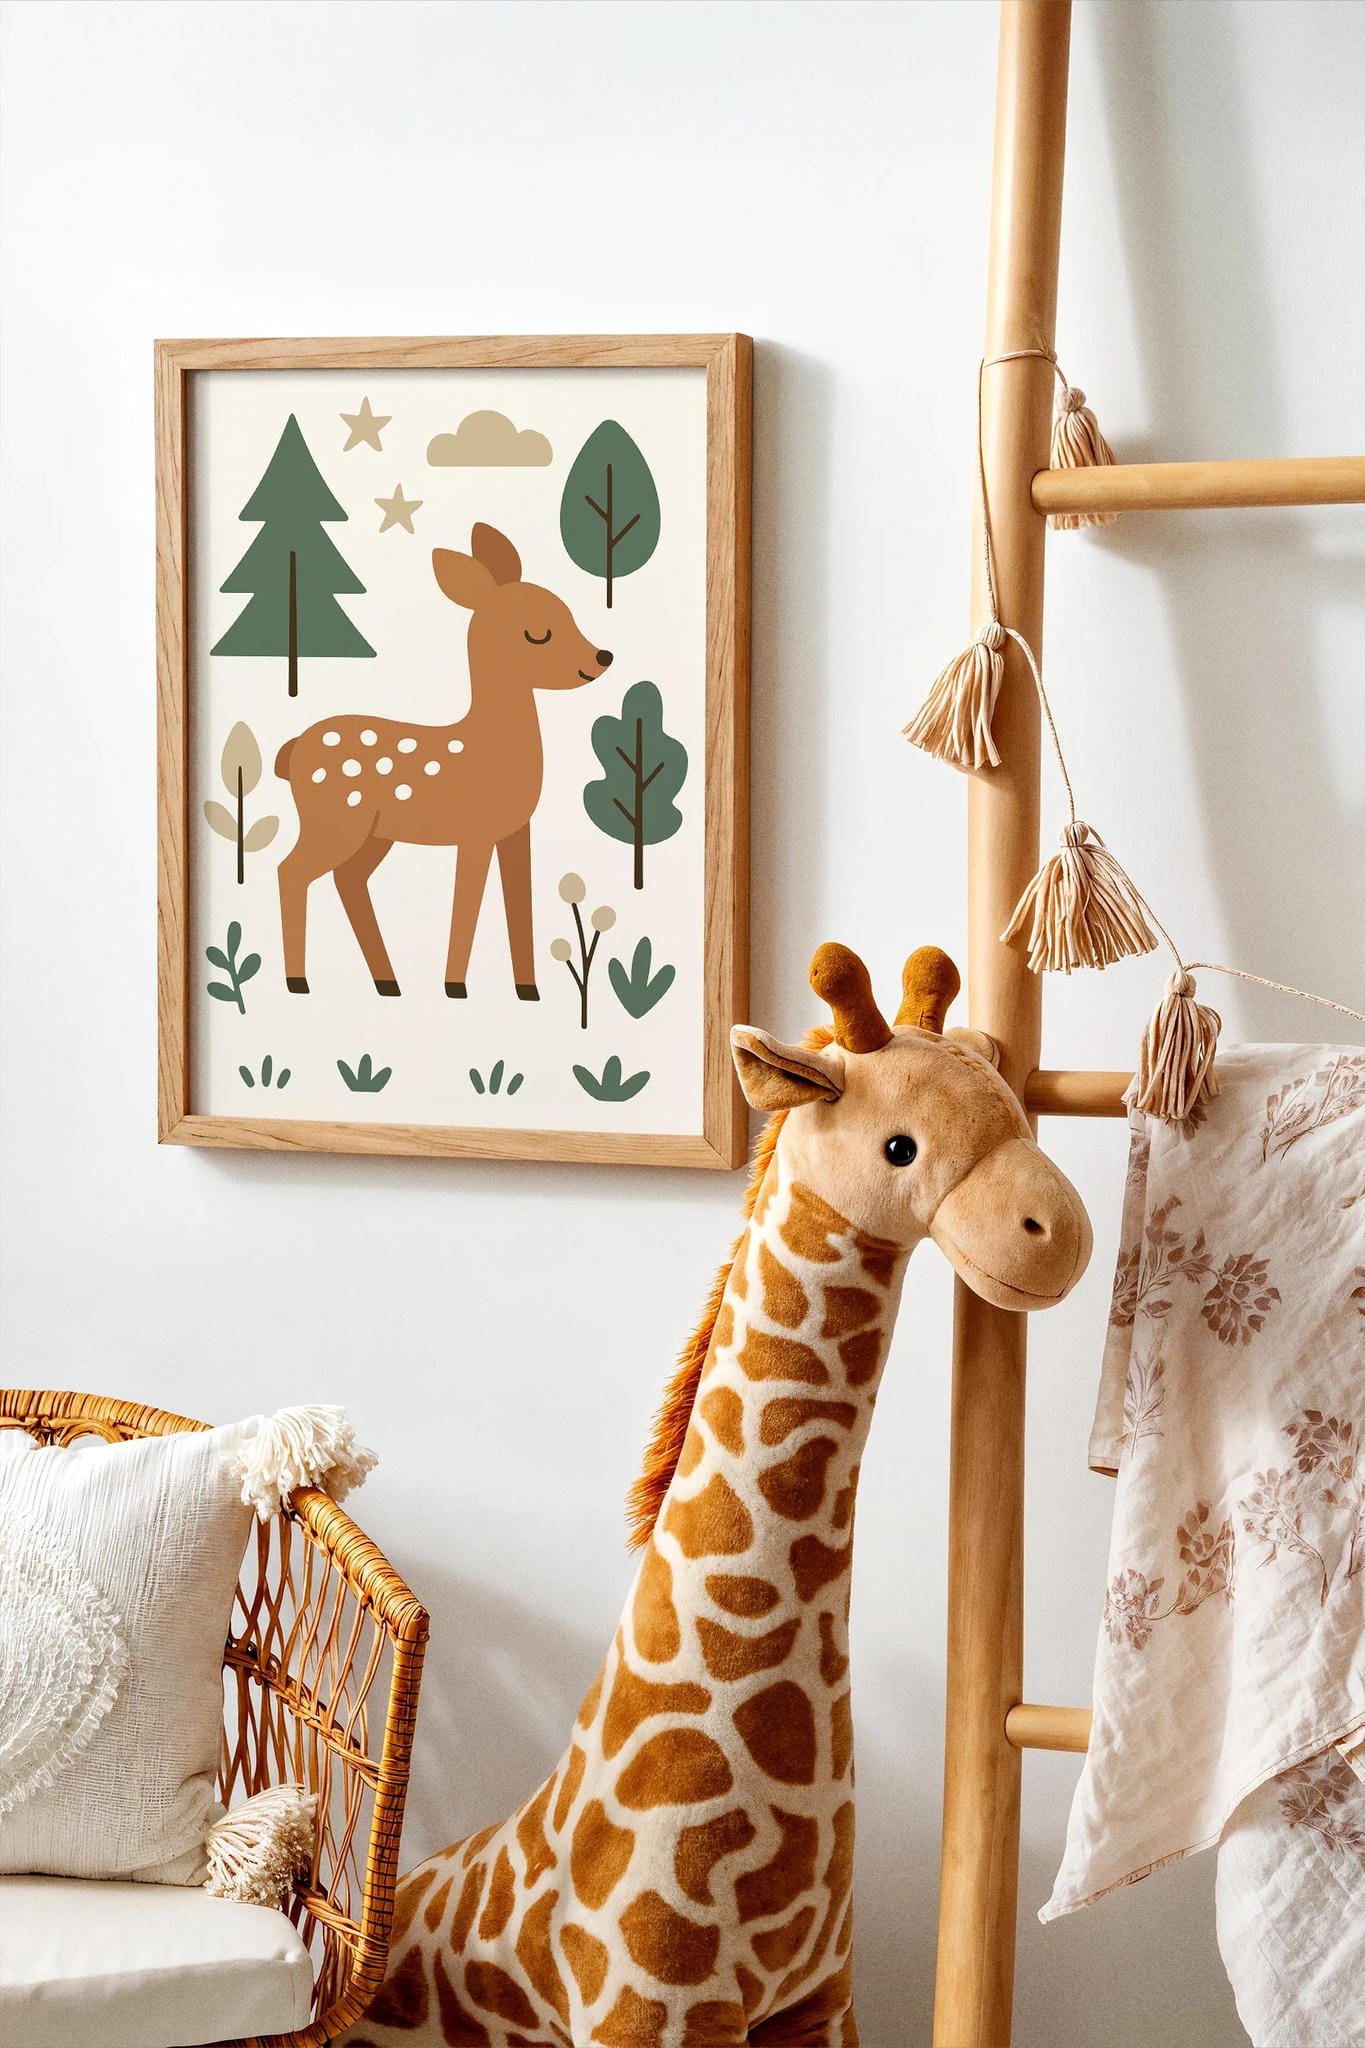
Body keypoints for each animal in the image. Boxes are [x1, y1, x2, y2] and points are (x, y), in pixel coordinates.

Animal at [274, 522, 612, 1000]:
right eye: (538, 632)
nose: (602, 657)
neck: (493, 745)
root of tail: (291, 751)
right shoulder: (474, 831)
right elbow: (467, 903)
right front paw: (455, 985)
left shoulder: (516, 832)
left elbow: (518, 903)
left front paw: (527, 990)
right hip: (334, 821)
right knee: (291, 872)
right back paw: (298, 981)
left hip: (373, 834)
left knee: (348, 880)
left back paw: (387, 981)